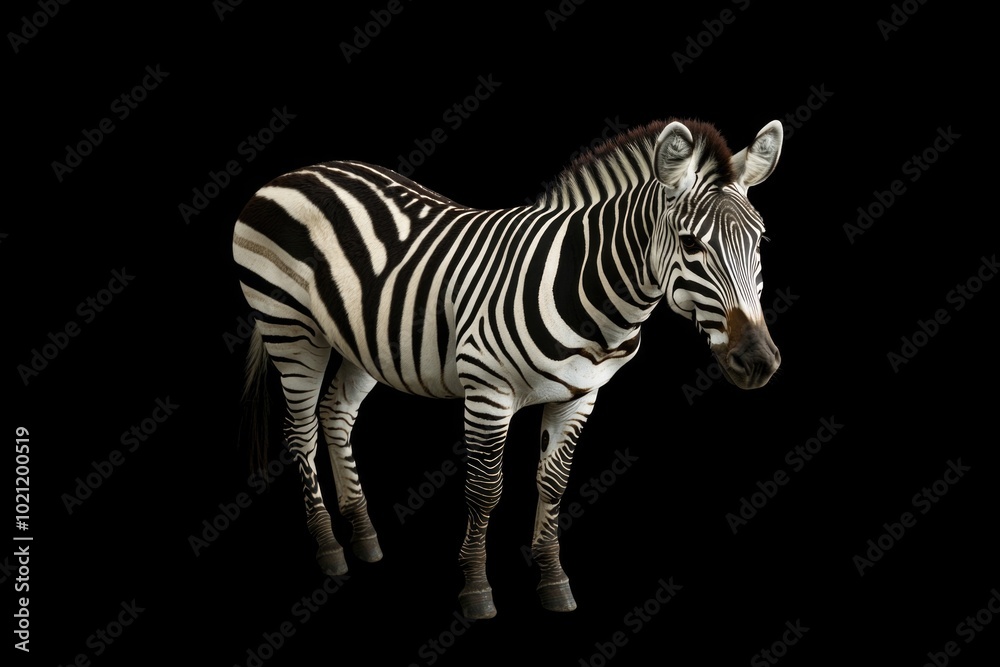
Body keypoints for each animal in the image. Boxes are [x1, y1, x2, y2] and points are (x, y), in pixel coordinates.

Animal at [233, 117, 783, 619]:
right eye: (692, 244)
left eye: (760, 242)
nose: (759, 361)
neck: (588, 292)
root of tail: (300, 170)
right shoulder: (488, 392)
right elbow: (485, 491)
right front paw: (476, 590)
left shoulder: (580, 396)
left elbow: (553, 485)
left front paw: (554, 581)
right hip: (291, 329)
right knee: (301, 431)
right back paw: (329, 548)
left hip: (361, 339)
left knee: (336, 414)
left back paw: (364, 536)